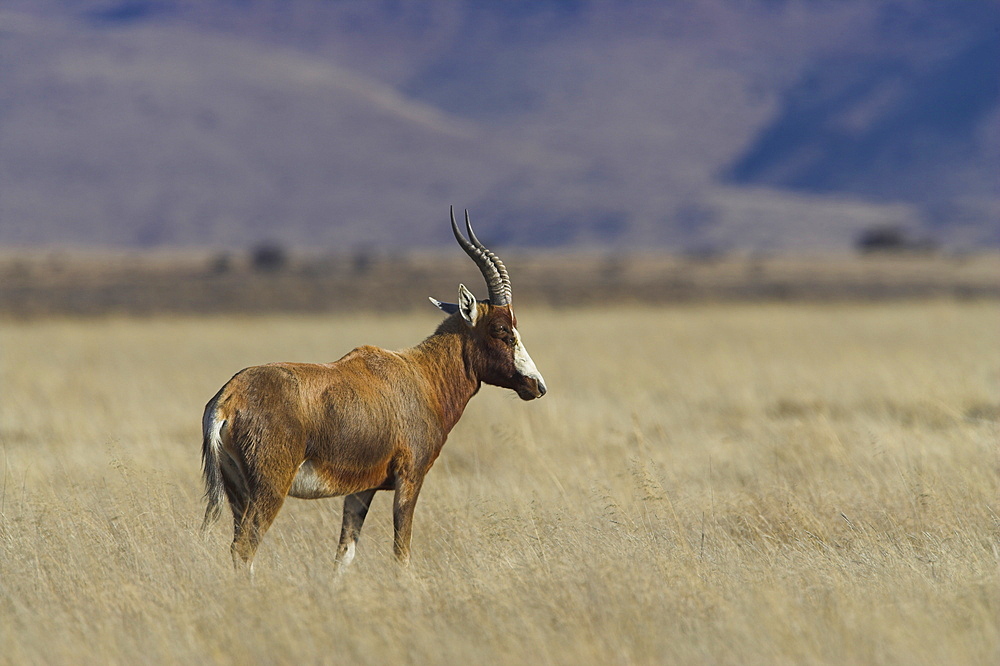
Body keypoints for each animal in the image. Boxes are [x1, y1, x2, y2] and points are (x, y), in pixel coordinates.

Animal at [200, 206, 548, 564]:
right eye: (502, 329)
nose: (537, 386)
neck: (420, 375)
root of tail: (229, 398)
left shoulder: (361, 489)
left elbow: (344, 554)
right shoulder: (409, 479)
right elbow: (401, 552)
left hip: (237, 492)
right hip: (269, 489)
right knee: (244, 547)